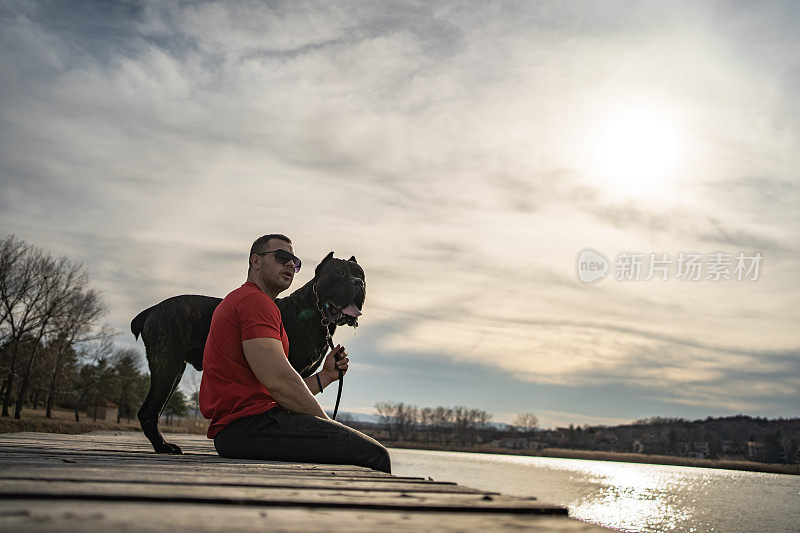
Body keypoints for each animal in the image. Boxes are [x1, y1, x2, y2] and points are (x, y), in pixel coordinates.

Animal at [131, 254, 366, 454]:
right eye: (339, 274)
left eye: (361, 275)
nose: (358, 283)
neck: (316, 314)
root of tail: (153, 309)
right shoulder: (287, 373)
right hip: (167, 366)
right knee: (149, 411)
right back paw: (163, 446)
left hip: (174, 369)